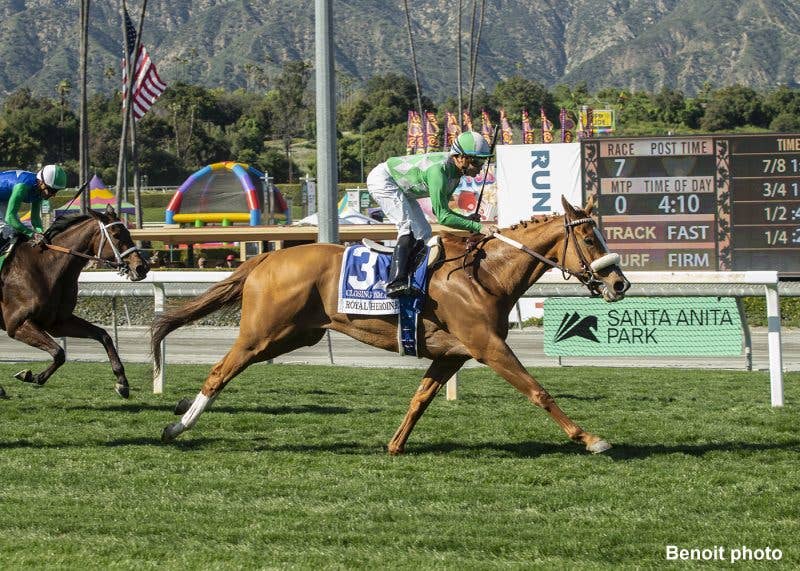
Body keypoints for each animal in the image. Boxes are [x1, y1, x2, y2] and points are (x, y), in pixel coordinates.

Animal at [0, 205, 149, 397]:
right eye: (116, 235)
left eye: (129, 232)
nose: (141, 267)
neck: (45, 269)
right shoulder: (17, 324)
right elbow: (59, 352)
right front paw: (32, 376)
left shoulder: (57, 323)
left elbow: (103, 335)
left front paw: (122, 382)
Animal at [153, 196, 630, 453]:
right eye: (589, 238)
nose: (620, 283)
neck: (484, 274)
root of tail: (267, 257)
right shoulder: (487, 346)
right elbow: (538, 391)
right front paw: (590, 438)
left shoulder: (452, 354)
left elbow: (420, 399)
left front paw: (395, 444)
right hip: (262, 333)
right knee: (220, 371)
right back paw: (177, 426)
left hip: (294, 335)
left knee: (229, 370)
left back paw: (180, 409)